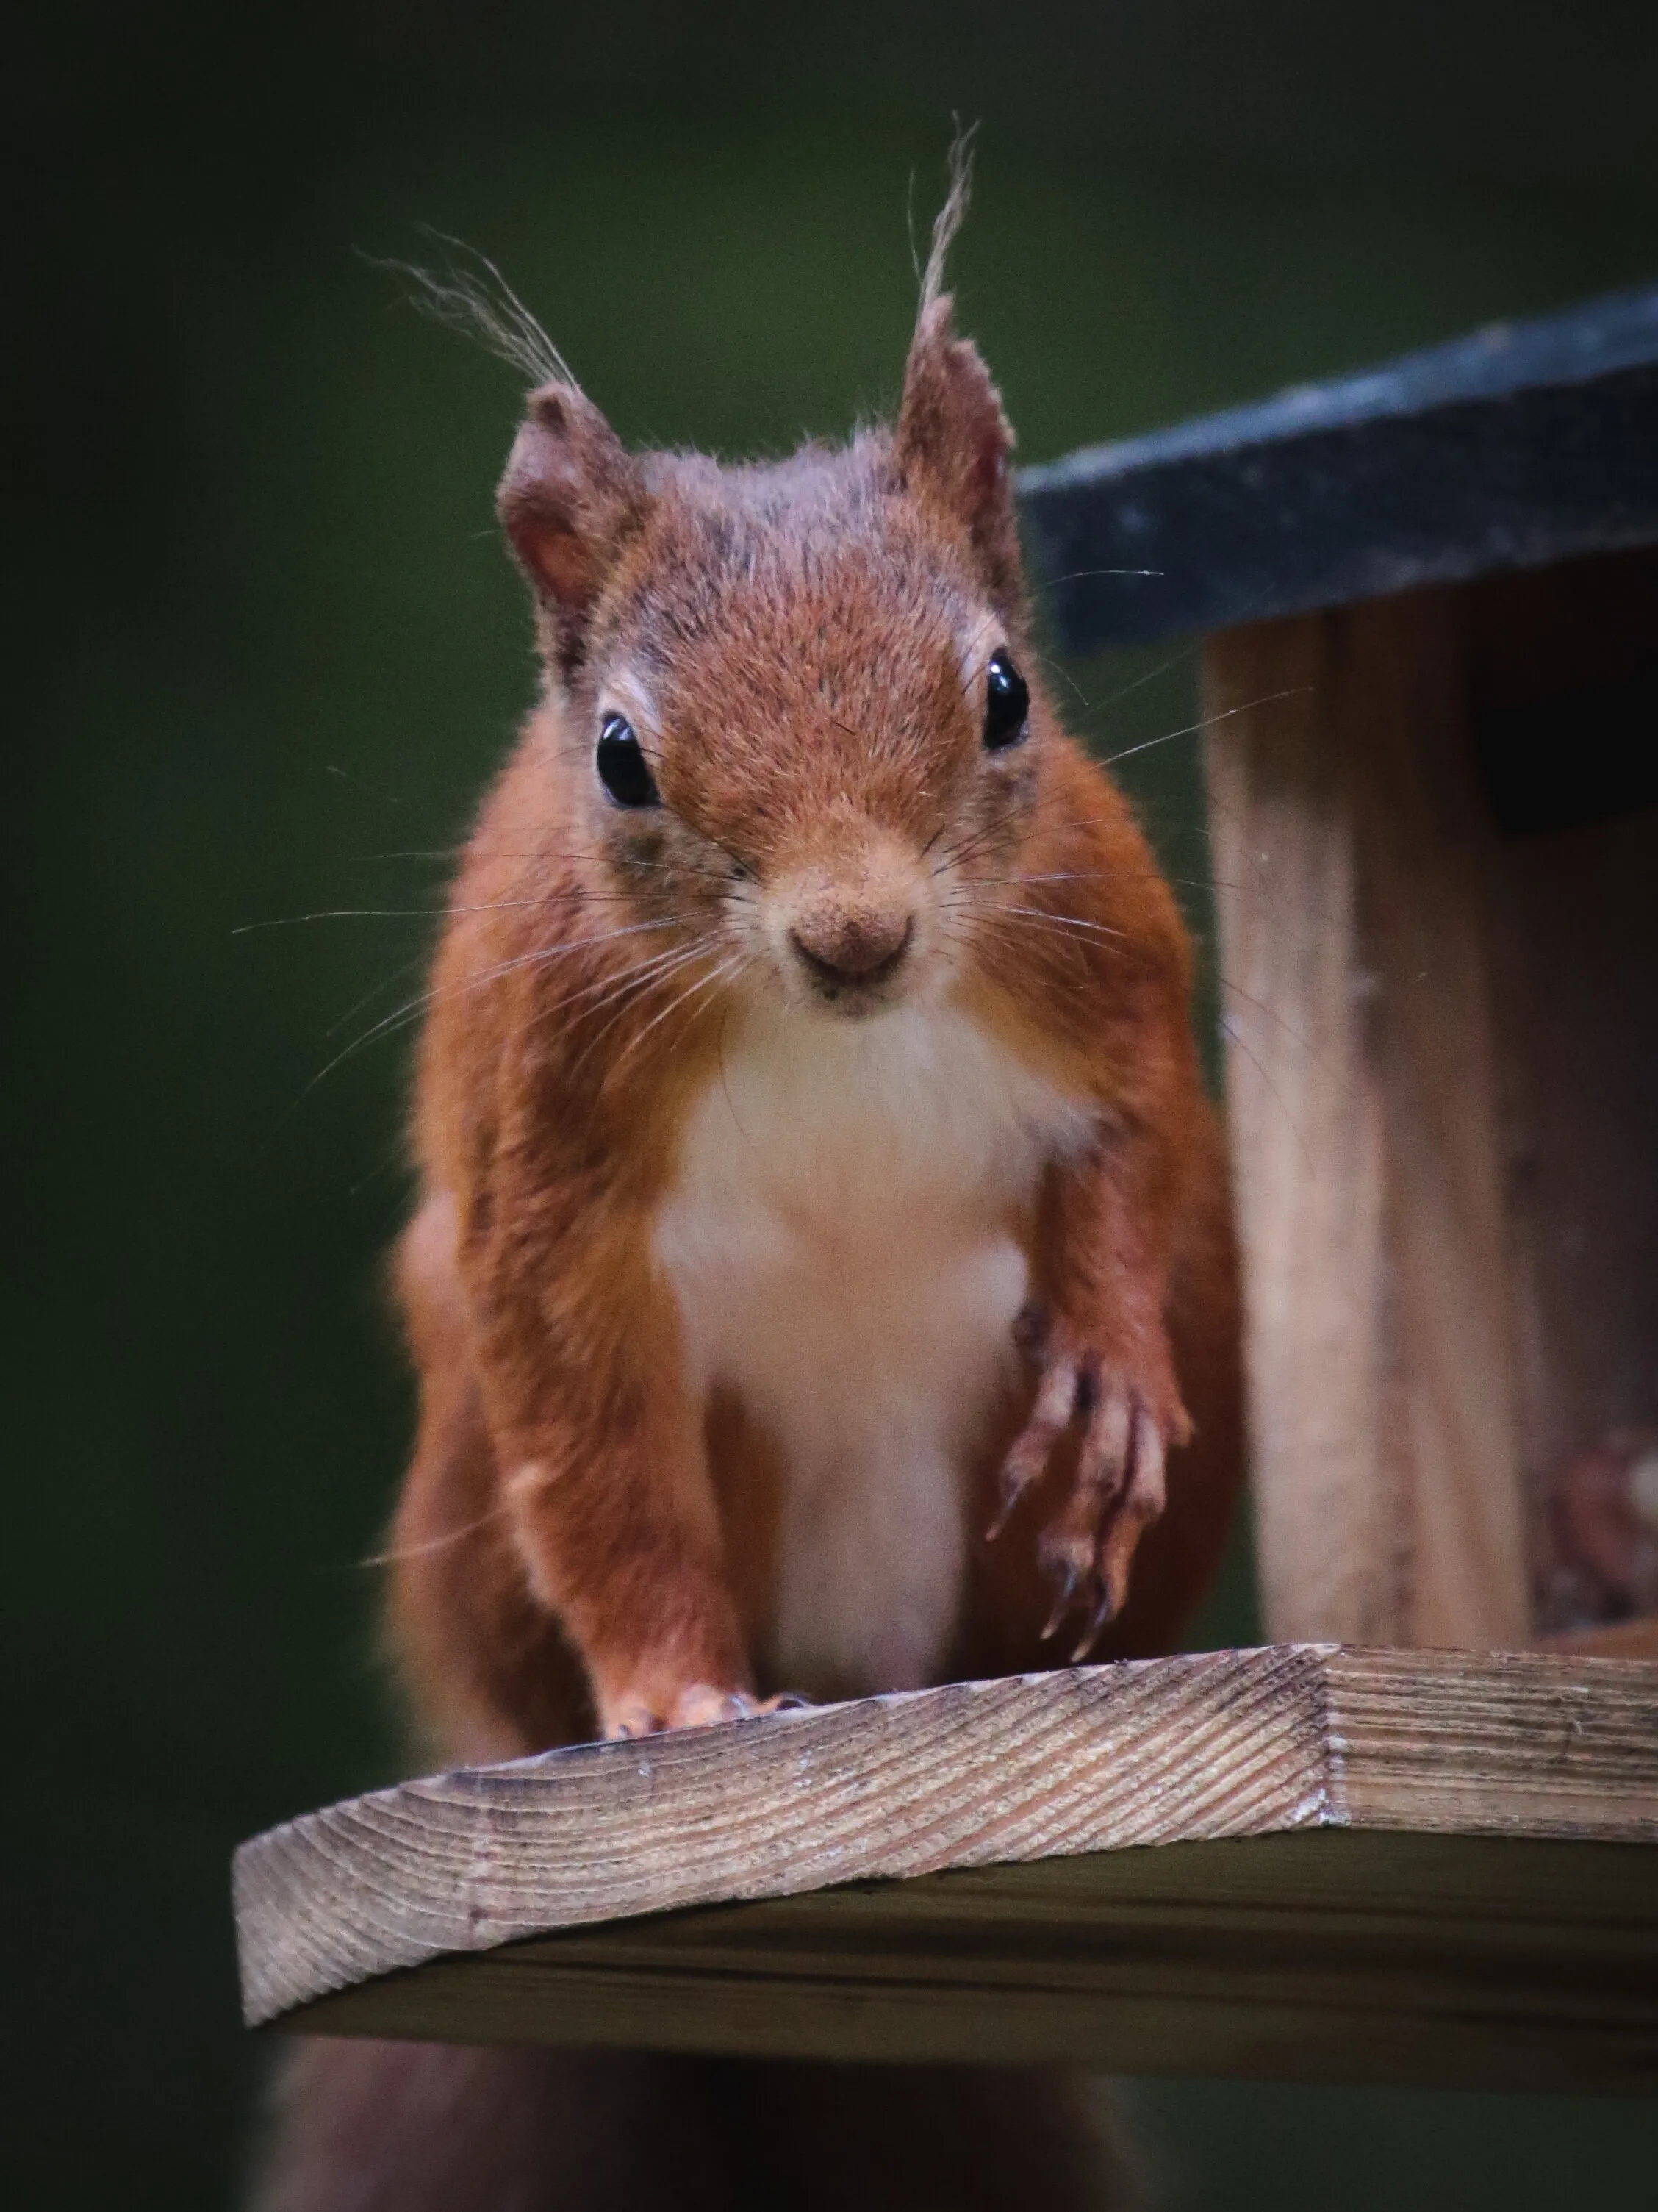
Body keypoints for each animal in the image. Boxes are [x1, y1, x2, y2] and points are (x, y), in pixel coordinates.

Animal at [251, 162, 1241, 2212]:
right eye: (622, 755)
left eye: (1005, 692)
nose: (856, 935)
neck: (837, 1030)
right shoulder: (544, 1149)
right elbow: (593, 1431)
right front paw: (678, 1701)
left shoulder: (1107, 965)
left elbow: (1134, 1153)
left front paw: (1107, 1374)